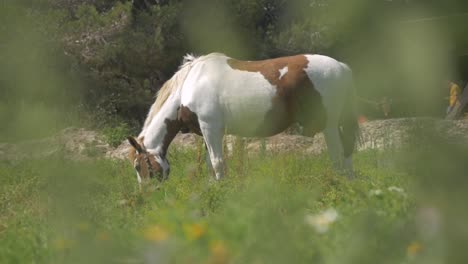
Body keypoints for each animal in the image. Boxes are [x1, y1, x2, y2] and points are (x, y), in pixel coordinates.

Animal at [126, 52, 356, 183]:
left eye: (138, 166)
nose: (146, 197)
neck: (188, 86)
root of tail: (342, 67)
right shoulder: (208, 134)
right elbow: (210, 165)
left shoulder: (211, 129)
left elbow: (218, 163)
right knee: (346, 154)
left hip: (329, 125)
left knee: (338, 156)